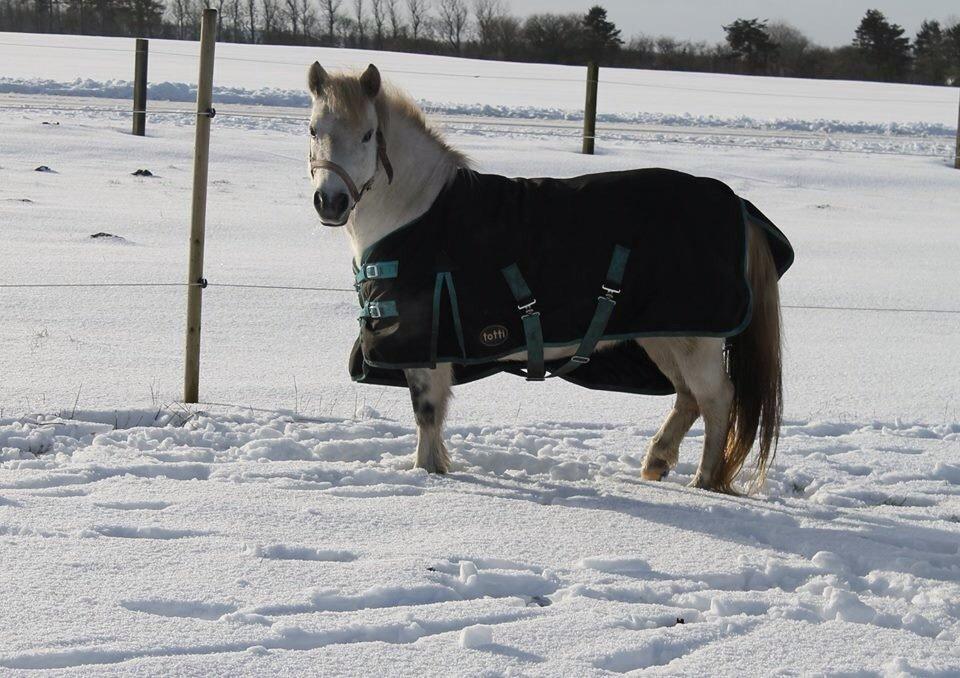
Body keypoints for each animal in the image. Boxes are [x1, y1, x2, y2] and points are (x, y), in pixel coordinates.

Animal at [308, 62, 788, 494]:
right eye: (314, 130)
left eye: (368, 134)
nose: (331, 202)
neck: (417, 210)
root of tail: (738, 206)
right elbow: (435, 414)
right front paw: (437, 468)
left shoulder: (423, 344)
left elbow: (426, 412)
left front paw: (427, 472)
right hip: (664, 334)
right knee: (688, 397)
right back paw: (657, 461)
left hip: (694, 340)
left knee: (716, 398)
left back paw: (704, 480)